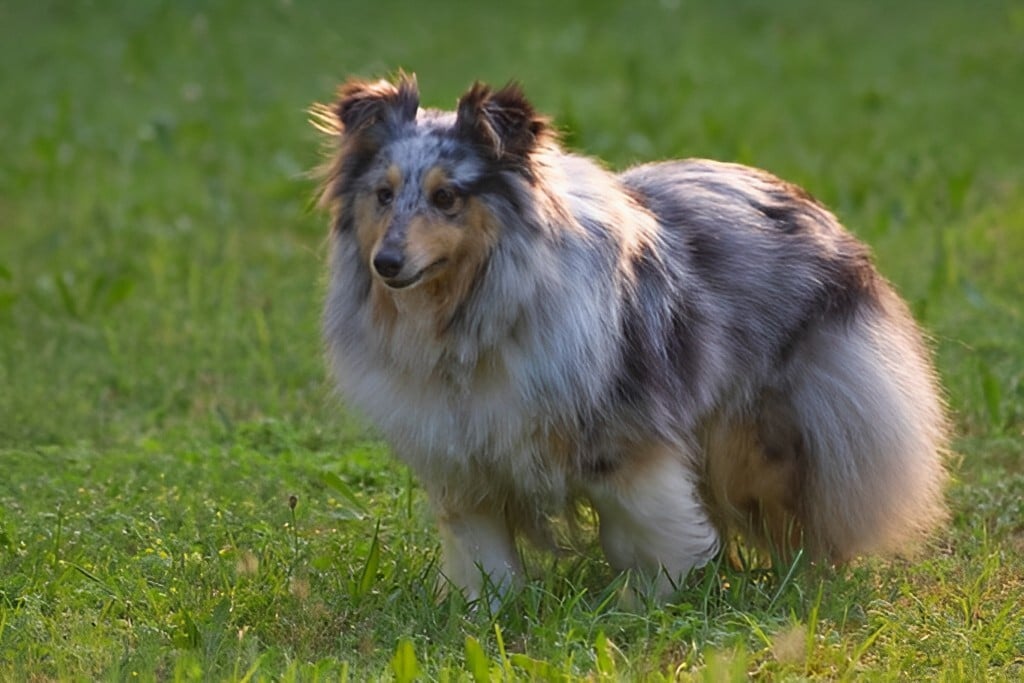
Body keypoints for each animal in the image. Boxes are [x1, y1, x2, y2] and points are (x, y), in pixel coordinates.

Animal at [309, 70, 942, 602]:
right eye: (384, 194)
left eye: (446, 197)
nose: (386, 264)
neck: (470, 311)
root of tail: (809, 203)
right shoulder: (462, 455)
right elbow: (481, 548)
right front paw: (483, 609)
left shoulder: (626, 438)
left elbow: (645, 529)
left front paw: (648, 604)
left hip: (763, 433)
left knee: (799, 511)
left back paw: (803, 583)